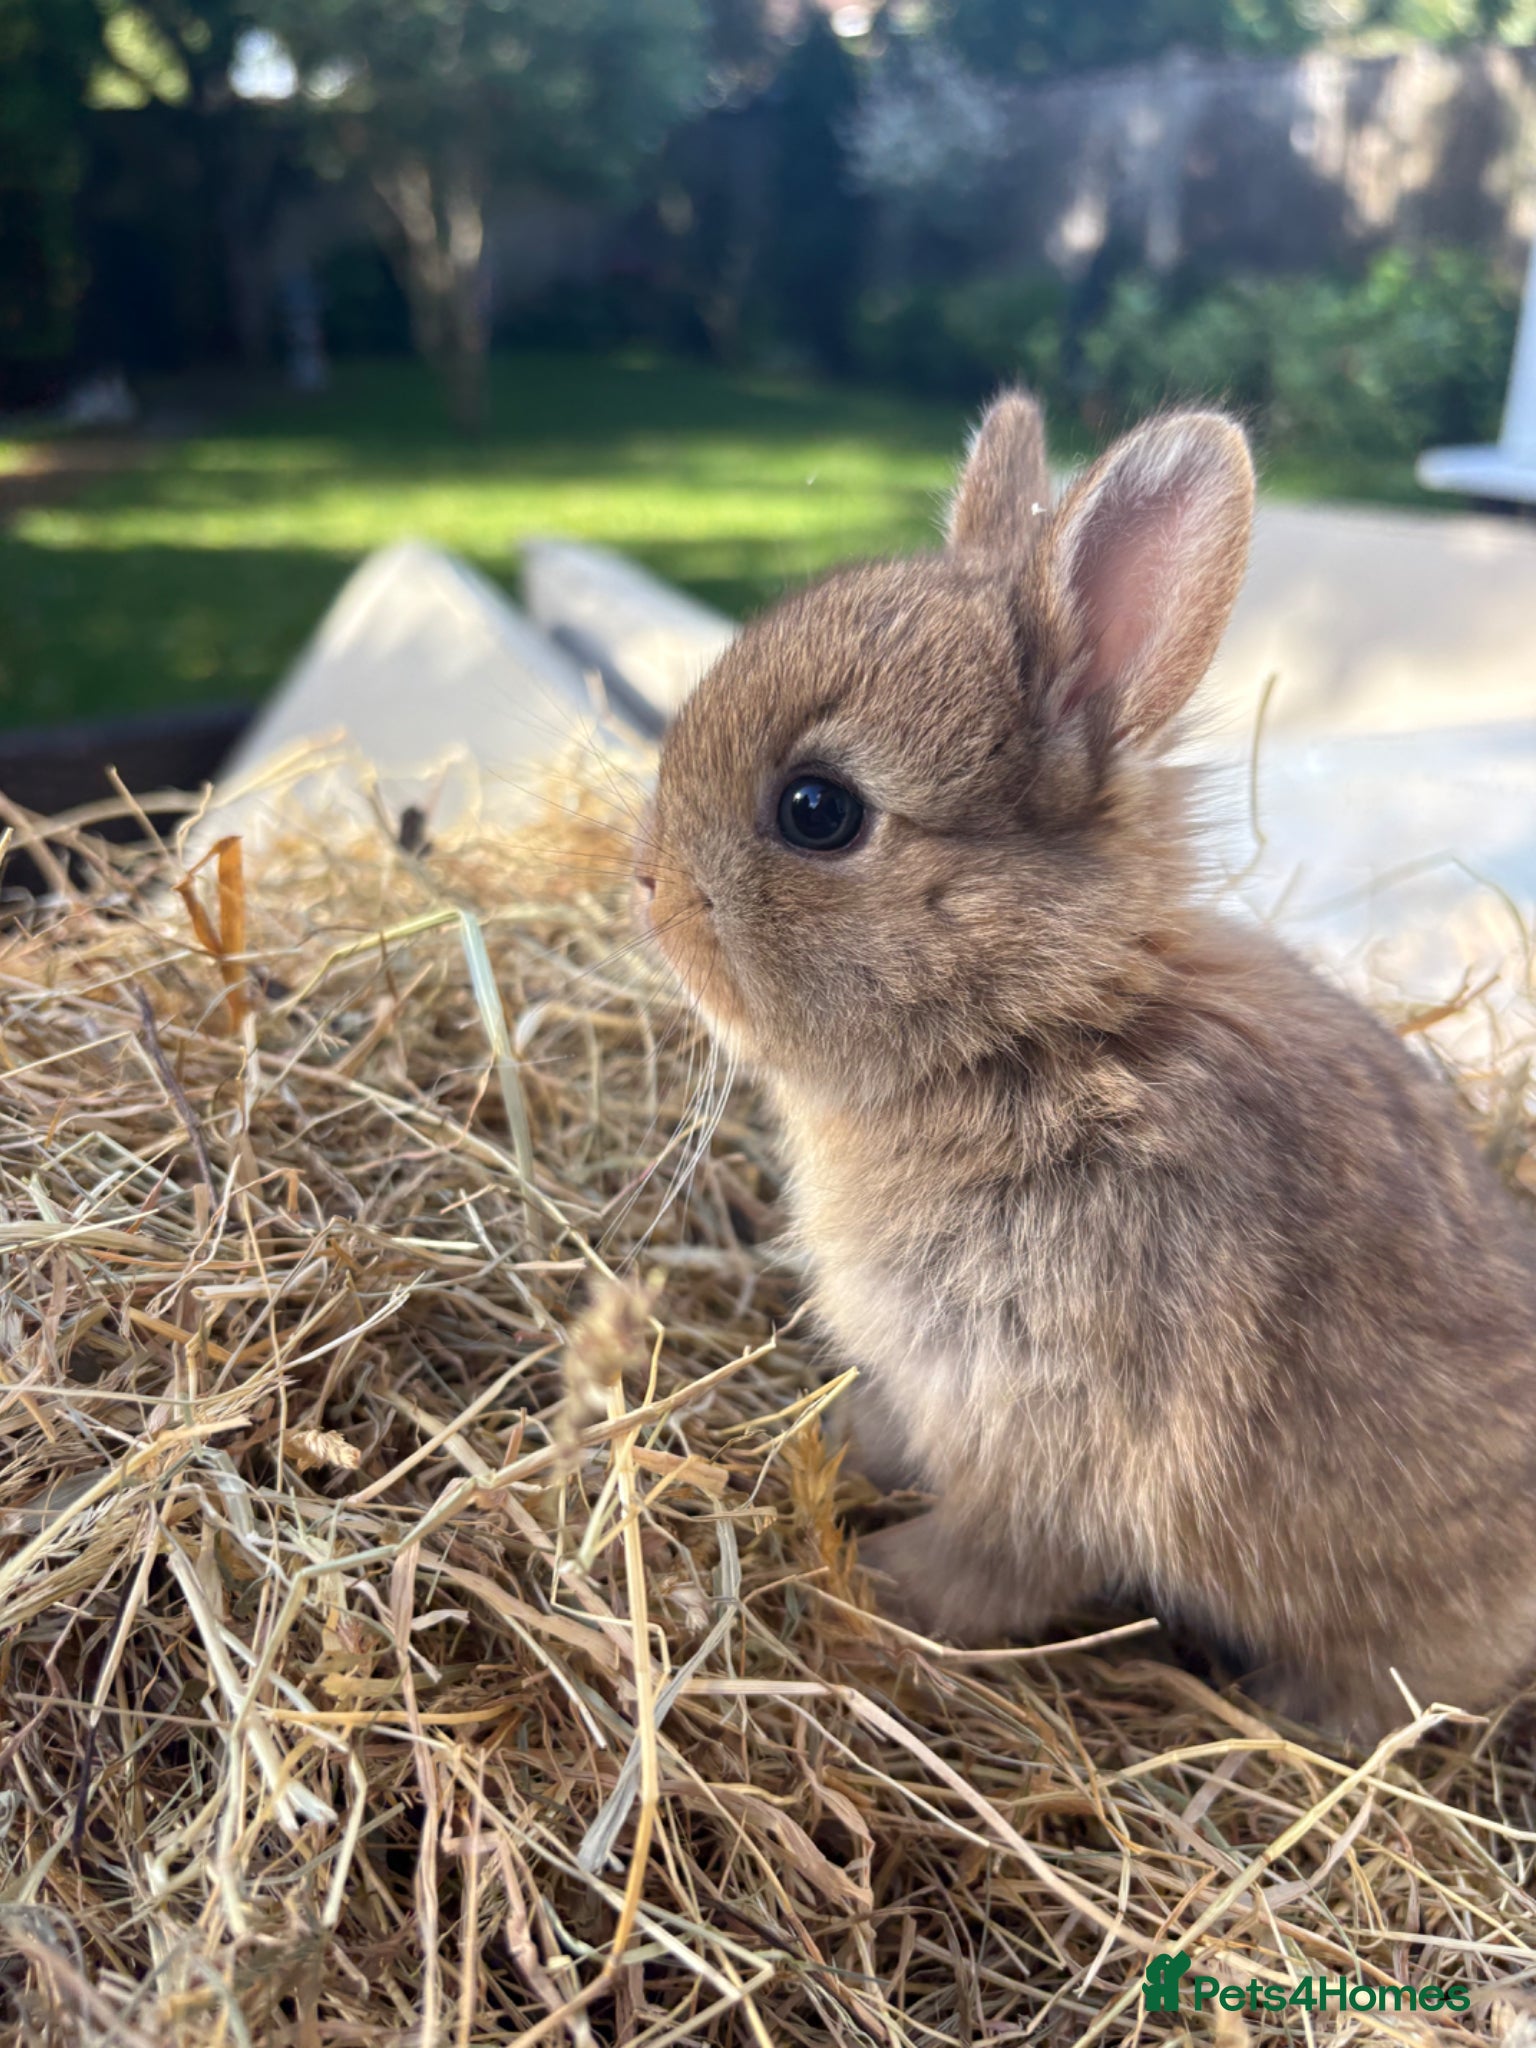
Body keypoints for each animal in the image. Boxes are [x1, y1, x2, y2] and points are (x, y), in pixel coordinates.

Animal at [636, 388, 1536, 1744]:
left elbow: (993, 1560)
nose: (644, 883)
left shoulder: (1058, 1429)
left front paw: (871, 1590)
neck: (1039, 1028)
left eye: (816, 809)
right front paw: (833, 1443)